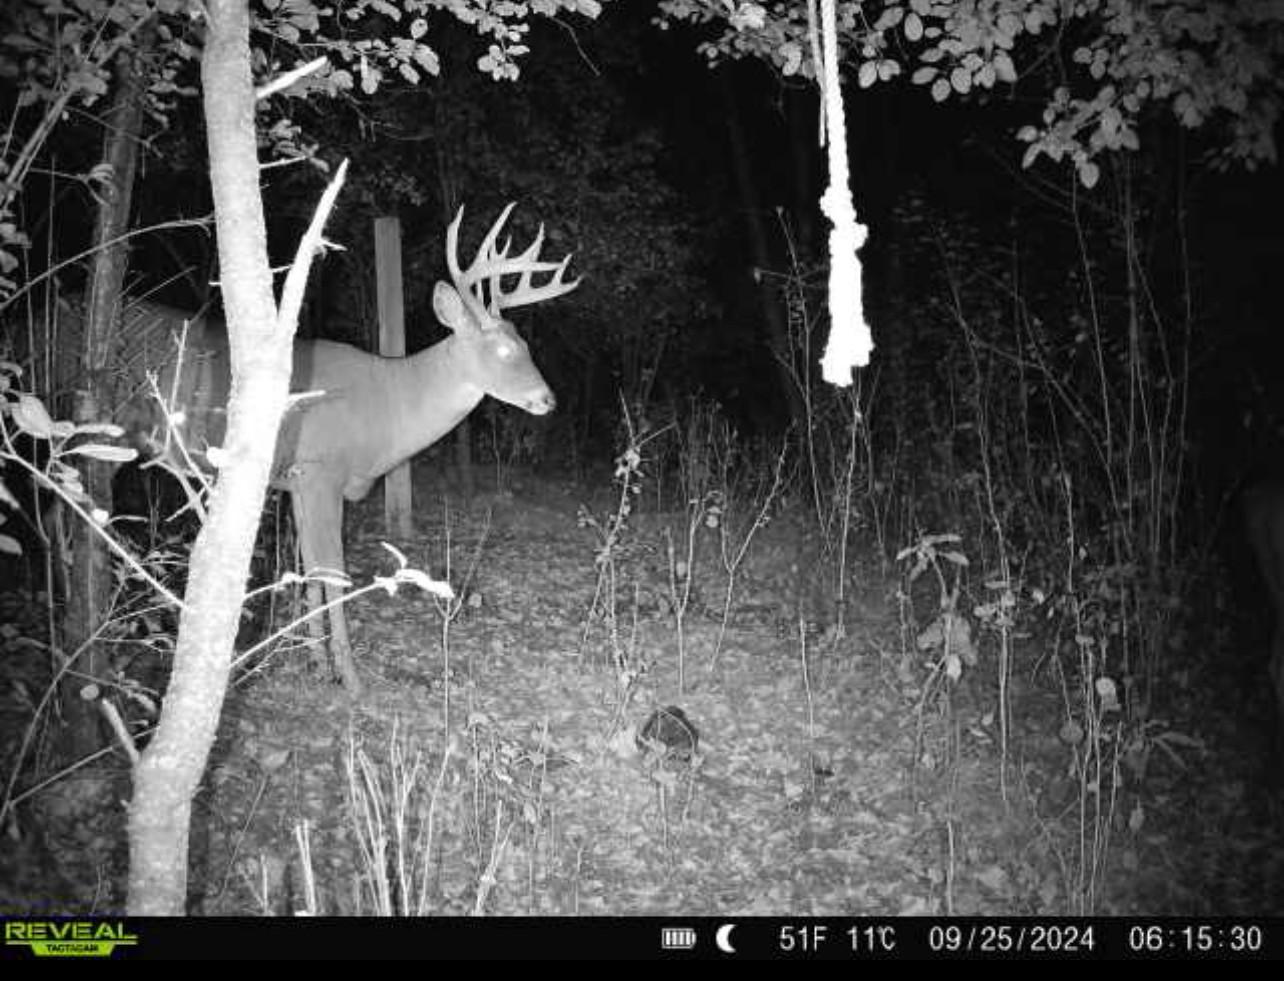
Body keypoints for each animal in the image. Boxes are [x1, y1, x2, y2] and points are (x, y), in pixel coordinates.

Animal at [116, 203, 579, 695]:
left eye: (526, 344)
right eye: (505, 351)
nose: (549, 400)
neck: (385, 406)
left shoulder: (298, 480)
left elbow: (310, 566)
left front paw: (317, 662)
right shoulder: (321, 471)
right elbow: (333, 568)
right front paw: (350, 675)